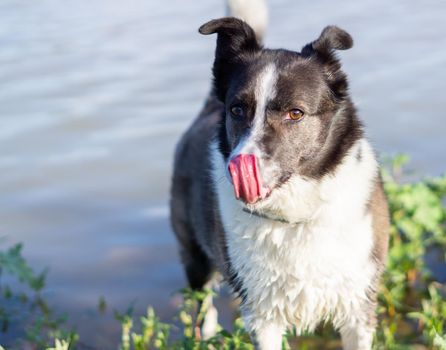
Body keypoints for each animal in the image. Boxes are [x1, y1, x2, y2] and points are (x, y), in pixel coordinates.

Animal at [169, 2, 388, 348]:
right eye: (236, 110)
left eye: (295, 113)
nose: (238, 167)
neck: (296, 216)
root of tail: (207, 108)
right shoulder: (263, 315)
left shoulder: (357, 304)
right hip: (194, 257)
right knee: (203, 307)